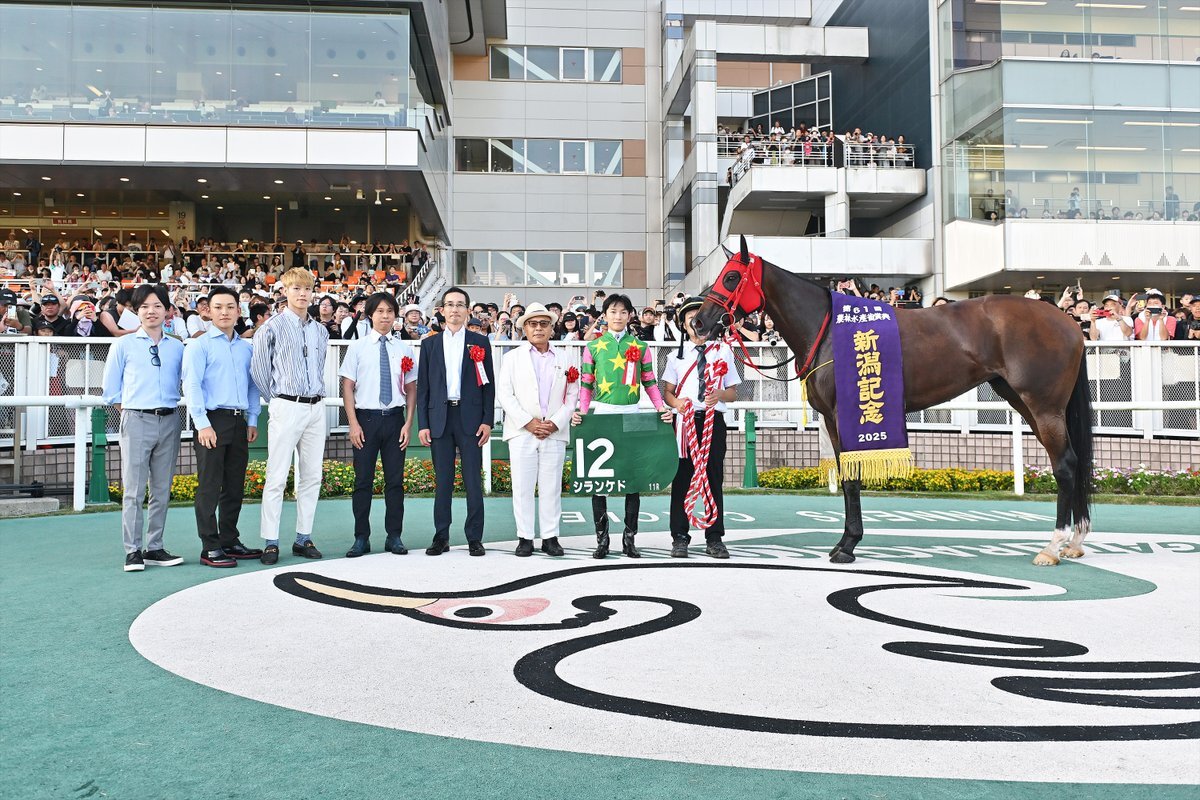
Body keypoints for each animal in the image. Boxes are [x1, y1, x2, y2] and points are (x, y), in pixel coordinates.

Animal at [689, 236, 1094, 567]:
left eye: (730, 278)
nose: (699, 323)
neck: (827, 327)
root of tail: (1069, 322)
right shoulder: (833, 420)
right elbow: (846, 475)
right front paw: (846, 542)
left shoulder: (846, 415)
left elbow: (852, 477)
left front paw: (847, 546)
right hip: (1025, 402)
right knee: (1072, 463)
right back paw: (1075, 541)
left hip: (1043, 406)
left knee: (1065, 465)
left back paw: (1053, 546)